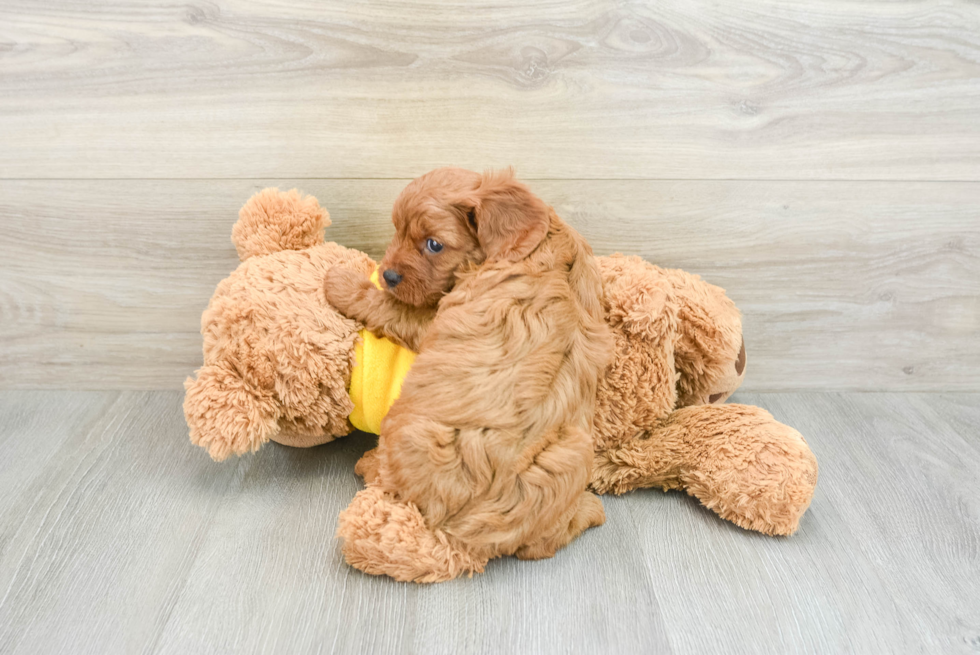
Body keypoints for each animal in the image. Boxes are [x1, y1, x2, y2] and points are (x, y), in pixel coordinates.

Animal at [324, 168, 612, 580]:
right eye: (397, 230)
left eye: (434, 245)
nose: (389, 273)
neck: (537, 244)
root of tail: (464, 542)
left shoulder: (435, 317)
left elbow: (394, 309)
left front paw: (343, 283)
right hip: (574, 455)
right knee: (541, 546)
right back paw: (589, 511)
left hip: (401, 426)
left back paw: (368, 463)